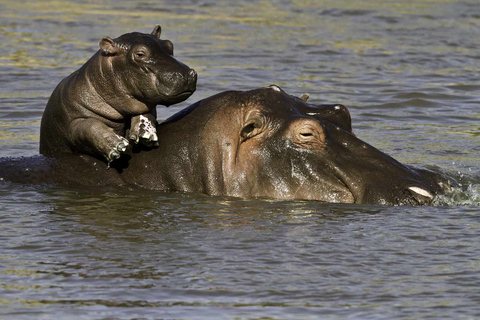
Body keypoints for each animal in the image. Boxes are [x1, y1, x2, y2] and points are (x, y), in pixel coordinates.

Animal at [39, 25, 197, 162]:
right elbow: (89, 126)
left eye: (169, 45)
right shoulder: (72, 123)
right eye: (140, 53)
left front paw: (146, 133)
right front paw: (117, 145)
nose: (186, 74)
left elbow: (146, 112)